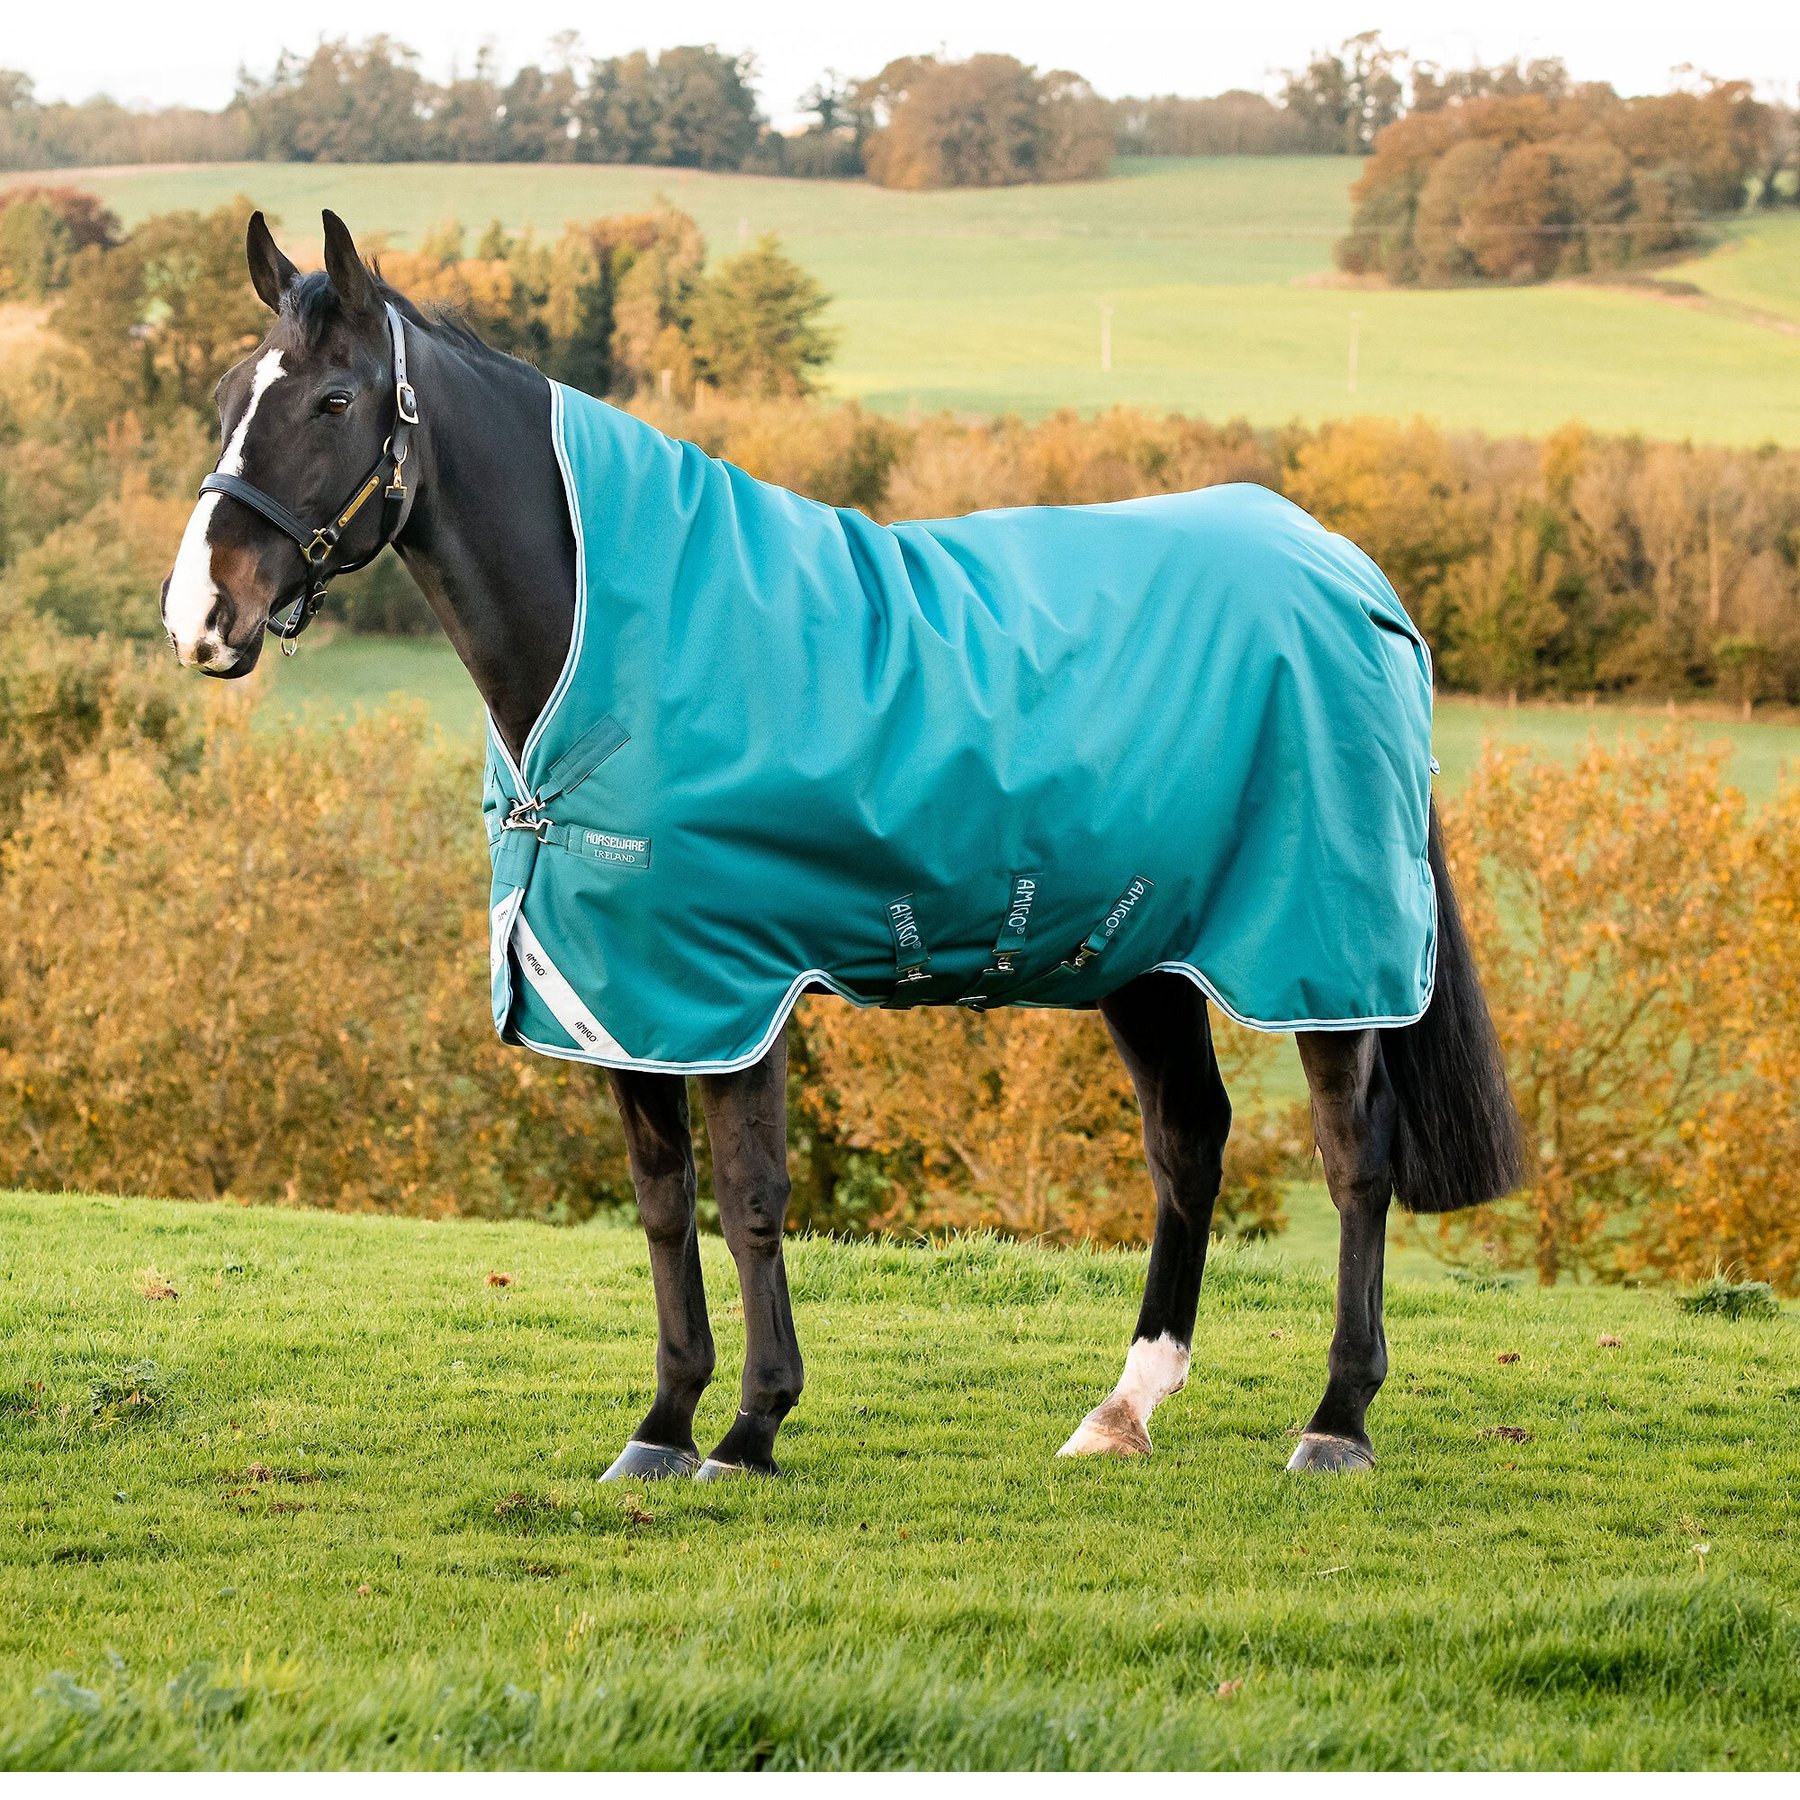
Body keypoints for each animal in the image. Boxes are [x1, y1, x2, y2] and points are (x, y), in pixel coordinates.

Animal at [161, 211, 1525, 1482]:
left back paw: (1337, 1419)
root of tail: (1348, 571)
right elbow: (663, 1204)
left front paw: (750, 1428)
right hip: (1142, 951)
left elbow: (753, 1200)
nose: (199, 617)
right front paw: (661, 1426)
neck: (615, 645)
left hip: (1321, 953)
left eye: (335, 400)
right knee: (1189, 1142)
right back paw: (1122, 1412)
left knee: (1357, 1158)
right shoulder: (626, 999)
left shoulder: (735, 987)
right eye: (227, 399)